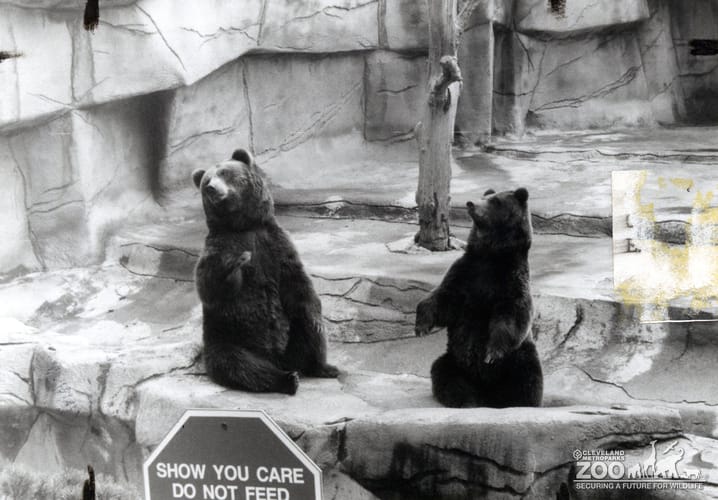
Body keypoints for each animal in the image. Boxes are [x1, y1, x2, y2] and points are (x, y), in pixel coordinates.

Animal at [192, 148, 339, 395]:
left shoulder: (276, 244)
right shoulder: (217, 246)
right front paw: (235, 262)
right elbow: (210, 286)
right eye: (206, 181)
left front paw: (318, 318)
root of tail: (278, 360)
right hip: (226, 339)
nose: (212, 188)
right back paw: (287, 380)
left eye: (224, 173)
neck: (244, 226)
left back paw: (323, 367)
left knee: (308, 330)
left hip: (292, 337)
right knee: (239, 366)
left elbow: (297, 282)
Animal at [415, 187, 543, 408]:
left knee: (527, 378)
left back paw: (520, 402)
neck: (491, 255)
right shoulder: (466, 274)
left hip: (519, 357)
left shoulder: (511, 280)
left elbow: (512, 313)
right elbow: (444, 300)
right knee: (445, 375)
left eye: (496, 201)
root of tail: (487, 393)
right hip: (455, 361)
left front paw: (491, 353)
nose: (471, 203)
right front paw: (421, 327)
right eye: (485, 196)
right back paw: (467, 400)